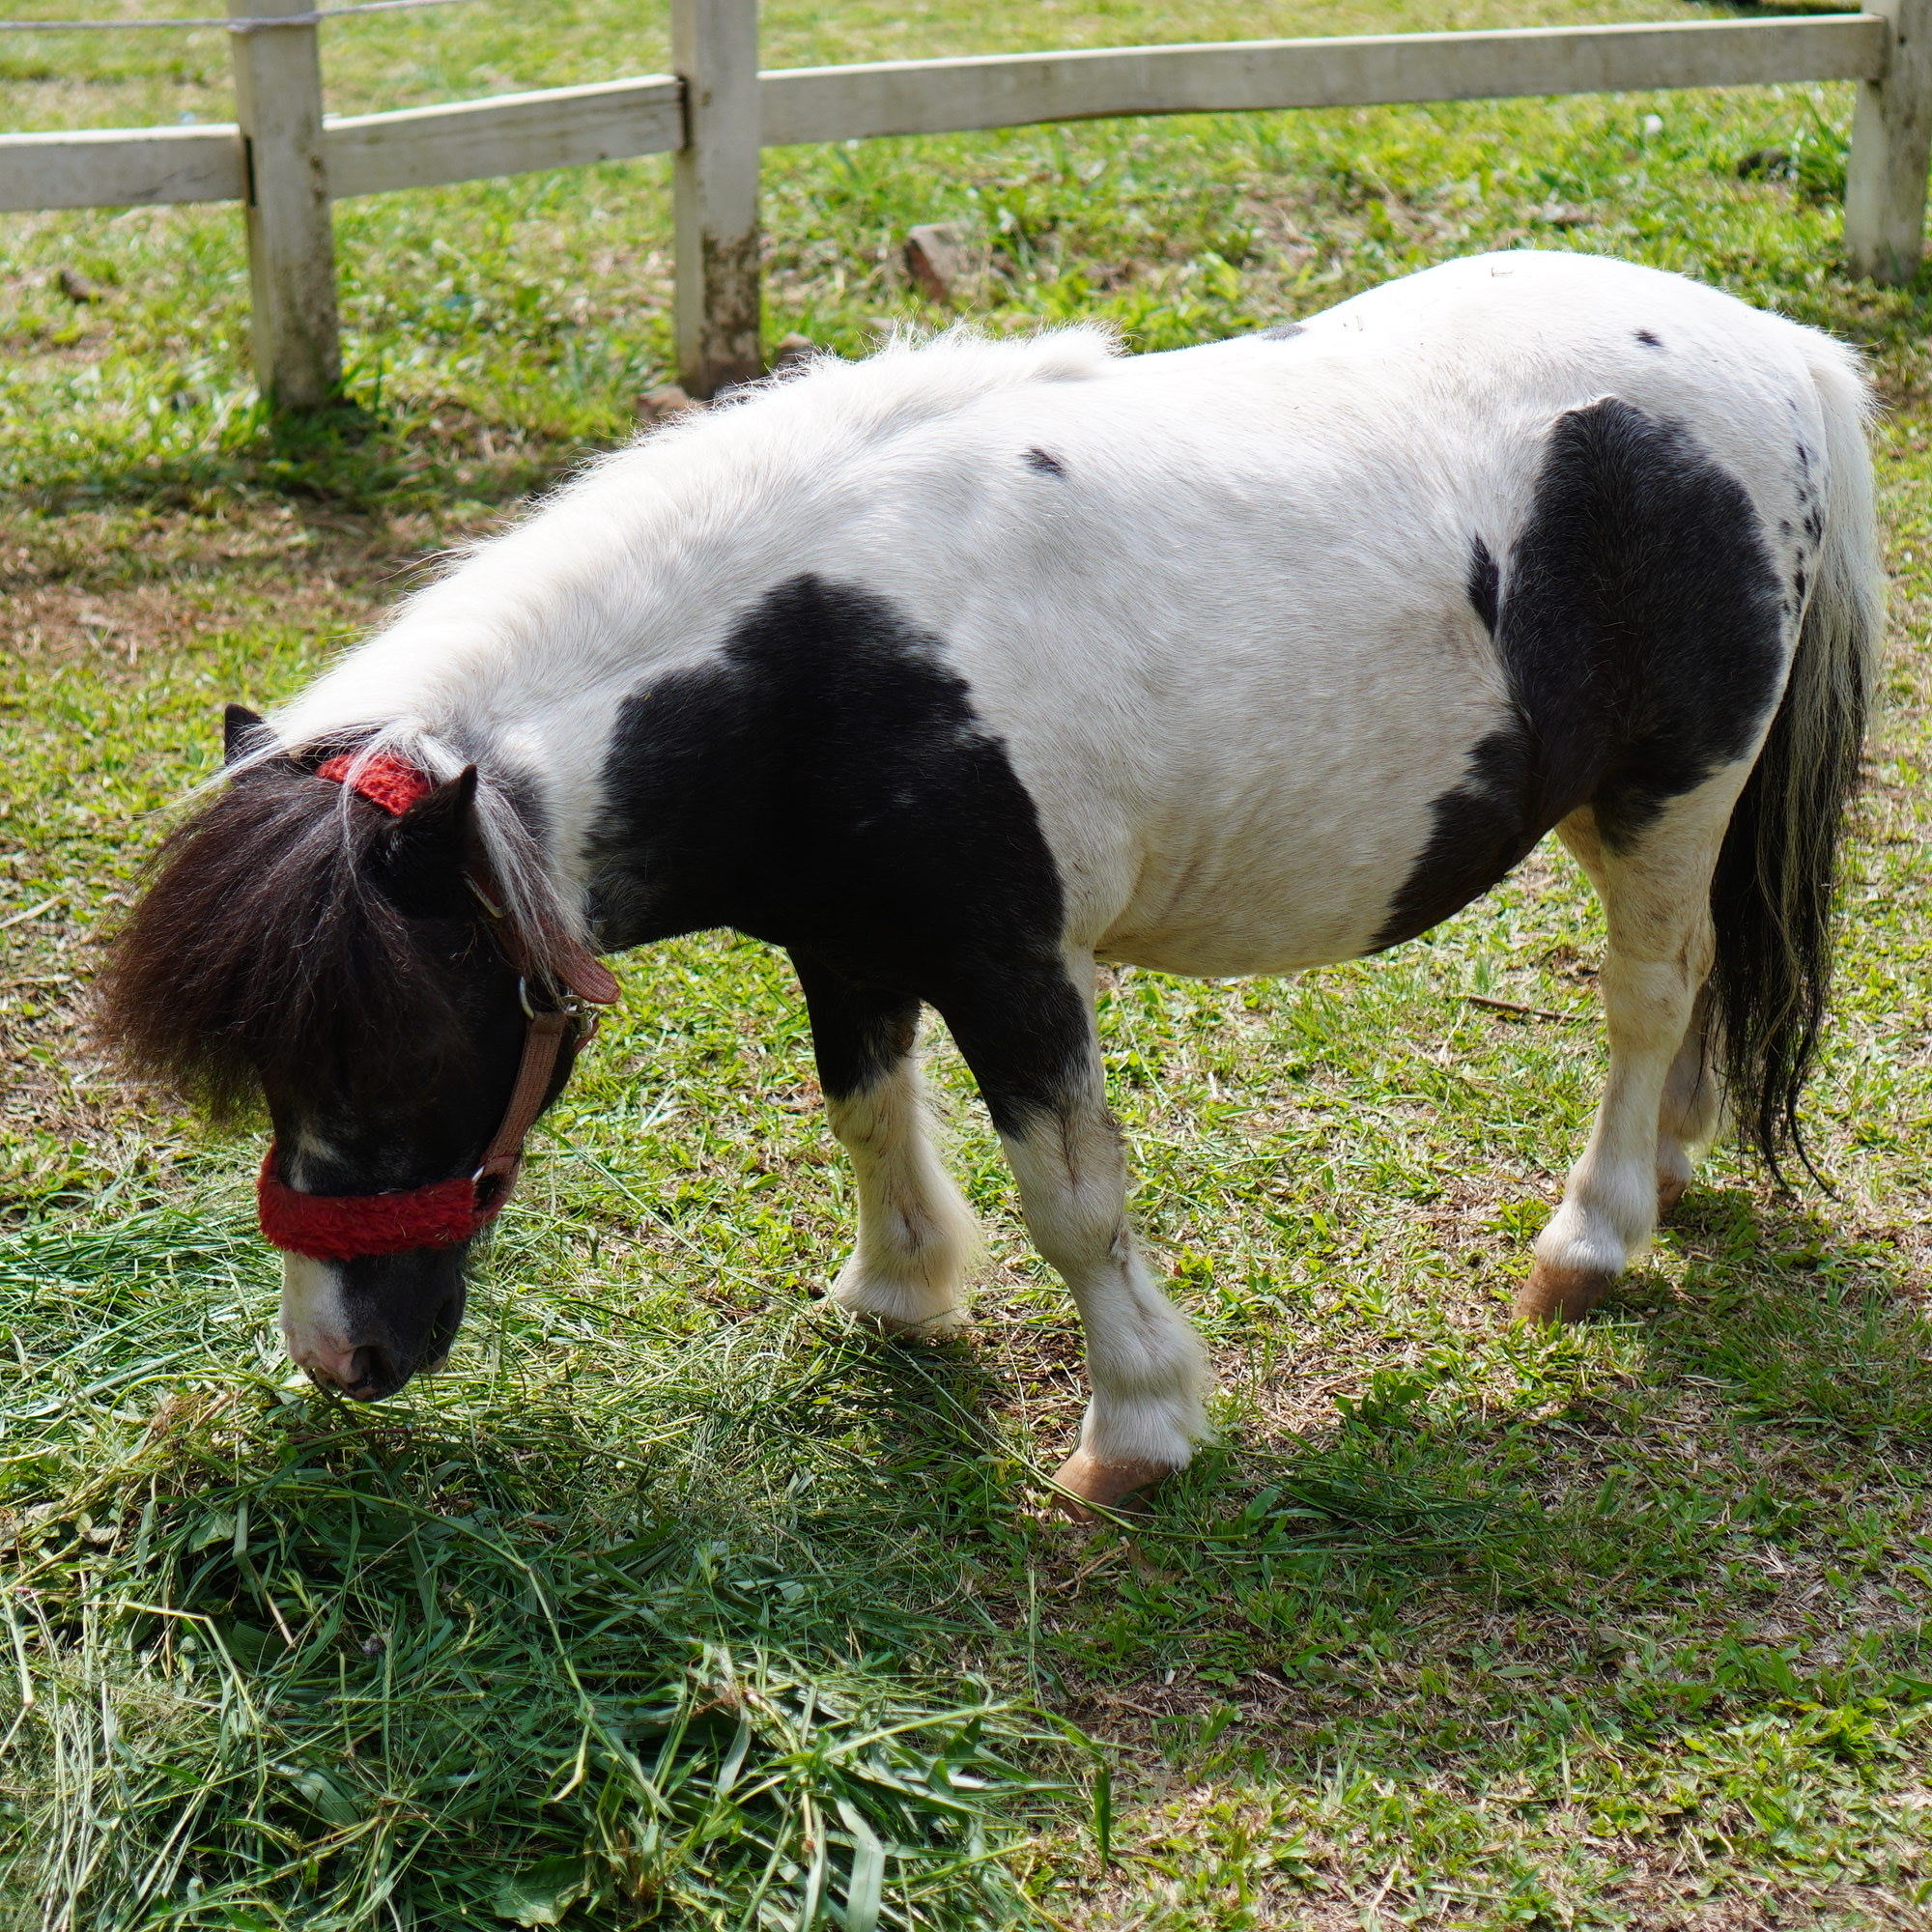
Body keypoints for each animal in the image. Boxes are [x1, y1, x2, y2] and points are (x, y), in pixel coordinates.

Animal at [100, 249, 1881, 1515]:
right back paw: (1678, 1161)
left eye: (405, 1052)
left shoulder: (1015, 963)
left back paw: (1598, 1232)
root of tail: (1772, 350)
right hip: (1607, 806)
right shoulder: (844, 946)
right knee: (1700, 987)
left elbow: (1072, 1199)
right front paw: (894, 1296)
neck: (821, 666)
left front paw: (1137, 1428)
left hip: (1673, 788)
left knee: (1650, 993)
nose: (340, 1356)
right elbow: (866, 1114)